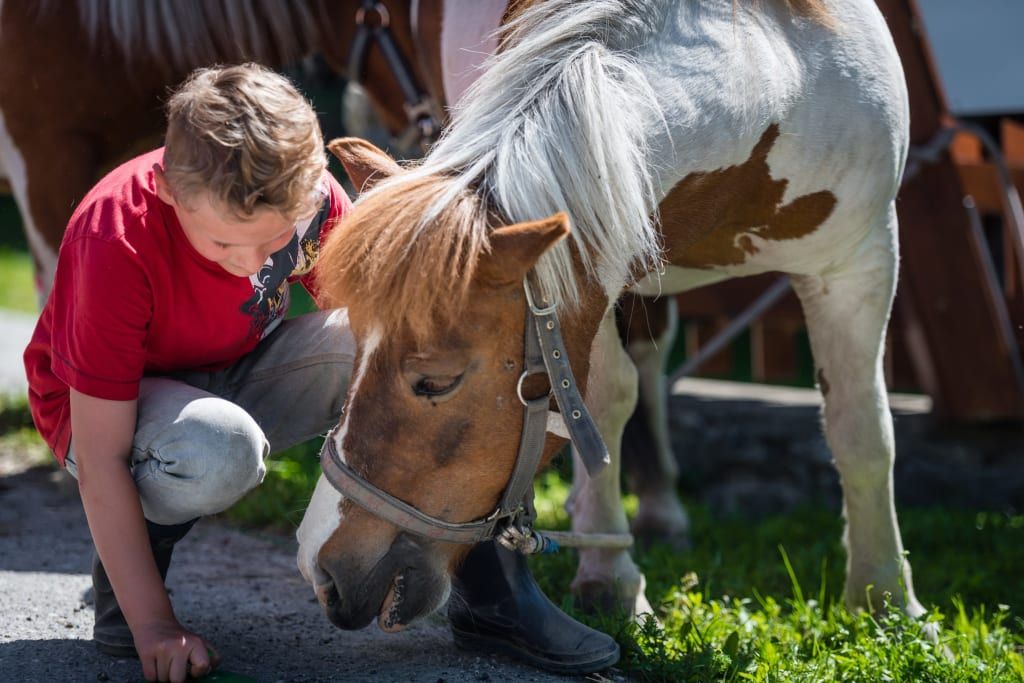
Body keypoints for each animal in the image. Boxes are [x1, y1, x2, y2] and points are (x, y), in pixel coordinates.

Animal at [296, 0, 927, 632]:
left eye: (436, 382)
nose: (323, 568)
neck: (775, 67)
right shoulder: (594, 266)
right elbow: (603, 403)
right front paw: (612, 579)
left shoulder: (863, 259)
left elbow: (862, 427)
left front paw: (885, 596)